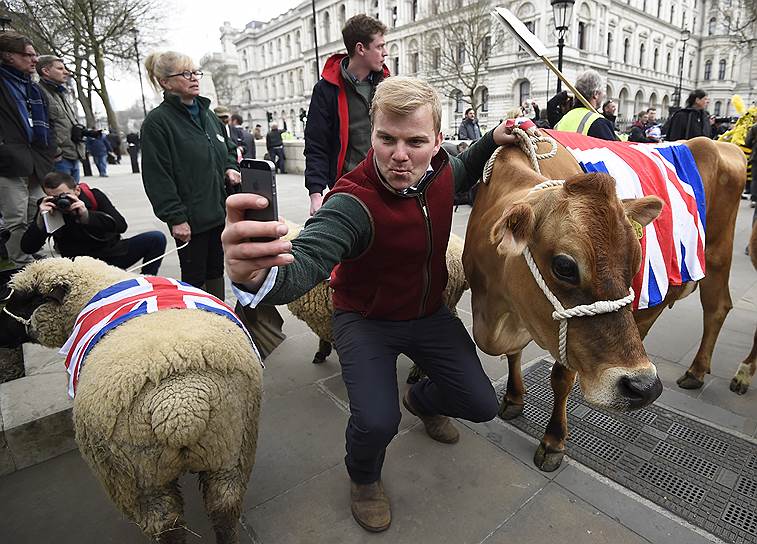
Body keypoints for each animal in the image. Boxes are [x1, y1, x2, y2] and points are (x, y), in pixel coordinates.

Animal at [0, 258, 262, 540]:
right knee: (224, 508)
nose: (2, 335)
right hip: (230, 449)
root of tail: (181, 405)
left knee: (165, 525)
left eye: (29, 299)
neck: (99, 285)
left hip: (132, 478)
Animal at [466, 137, 744, 472]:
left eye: (637, 260)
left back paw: (698, 372)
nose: (644, 387)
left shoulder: (565, 339)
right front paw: (513, 398)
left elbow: (560, 379)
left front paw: (553, 441)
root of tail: (720, 145)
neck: (494, 313)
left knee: (717, 308)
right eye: (564, 266)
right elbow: (513, 354)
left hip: (718, 254)